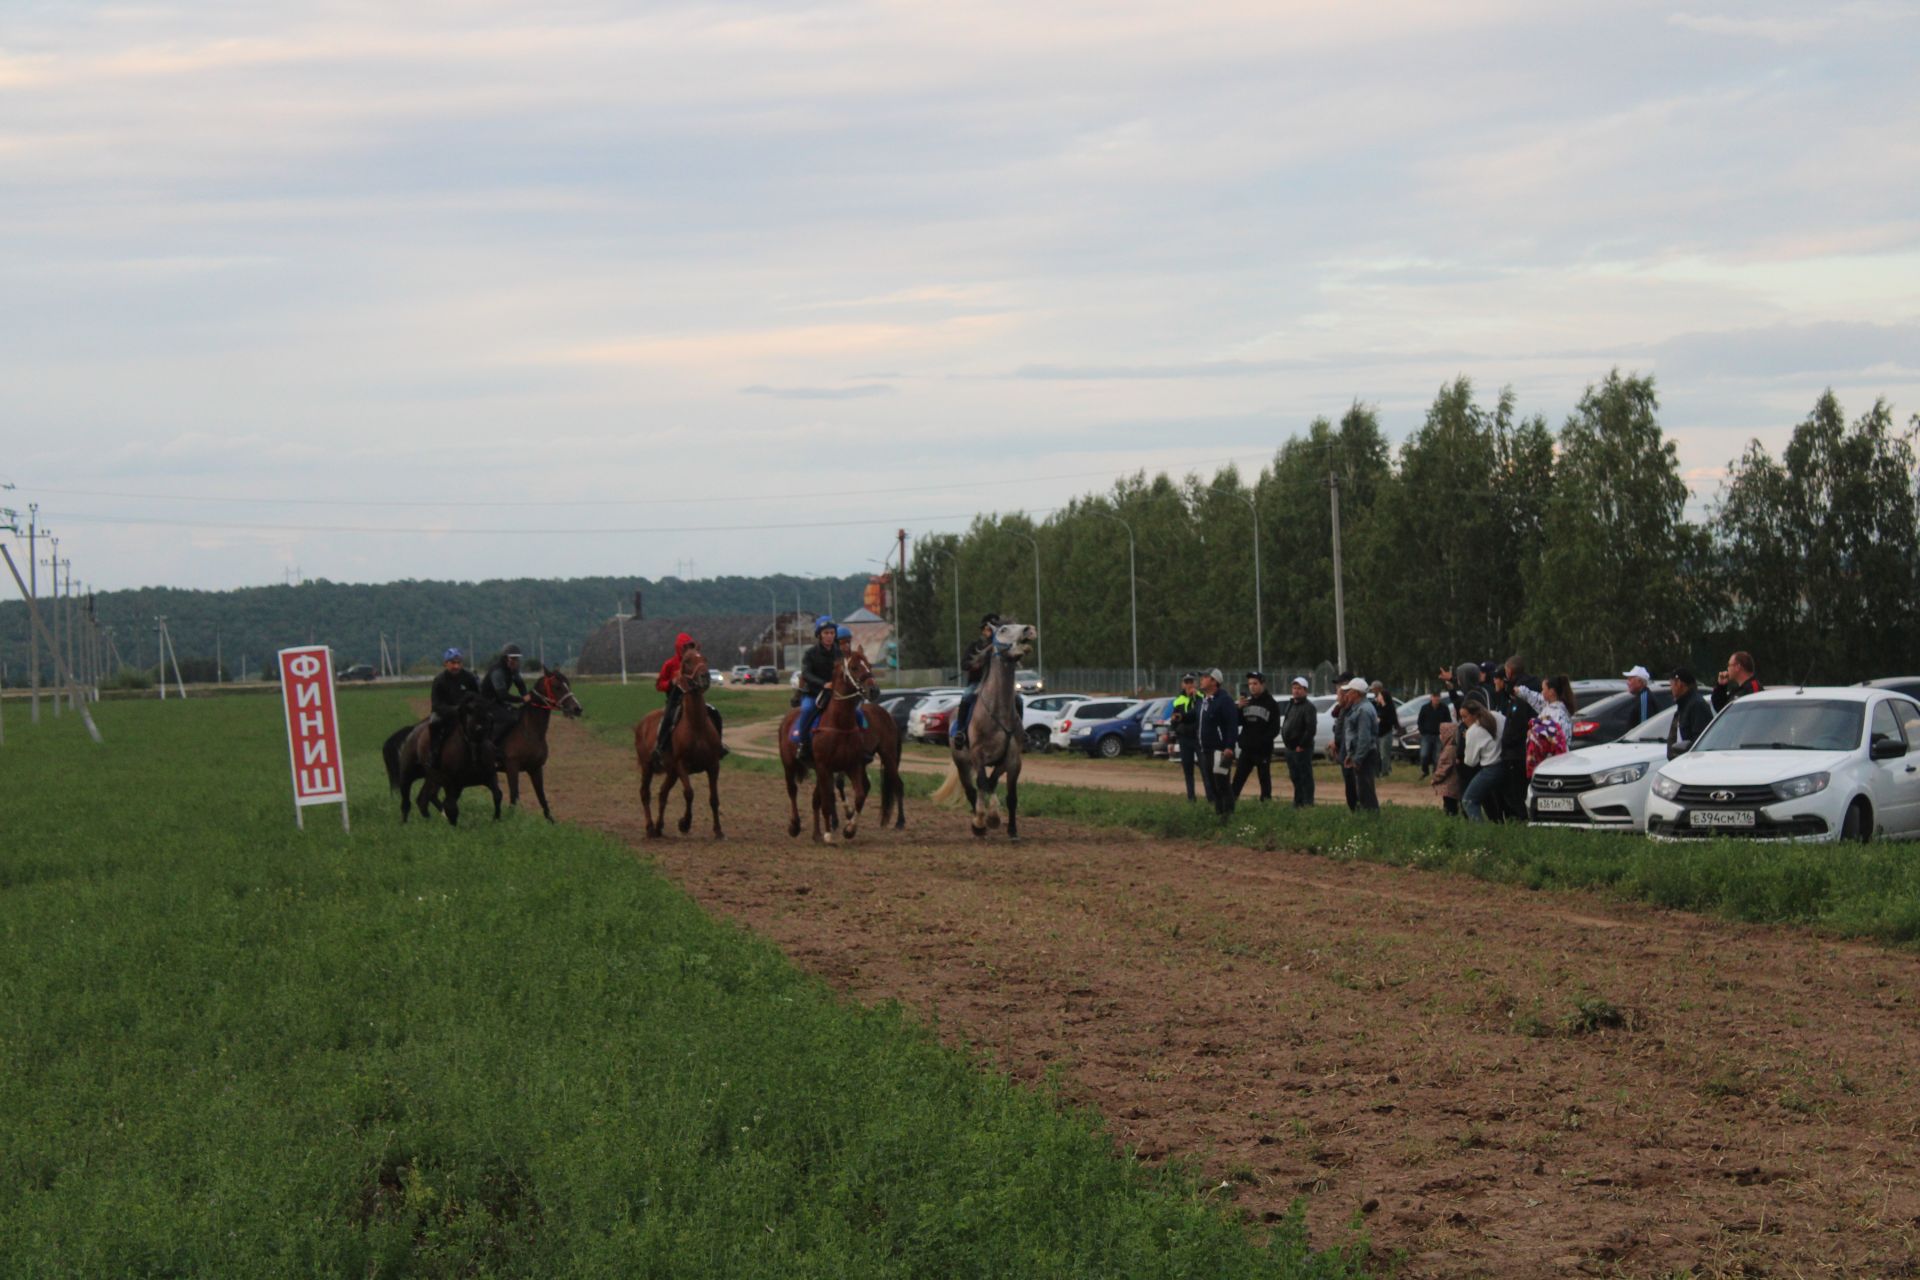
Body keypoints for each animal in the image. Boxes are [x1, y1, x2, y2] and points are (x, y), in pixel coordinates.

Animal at [380, 694, 503, 825]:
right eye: (469, 712)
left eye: (489, 716)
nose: (480, 729)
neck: (472, 752)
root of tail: (413, 730)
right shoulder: (451, 783)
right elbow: (451, 807)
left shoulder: (489, 776)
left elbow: (497, 795)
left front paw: (496, 819)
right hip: (407, 775)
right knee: (406, 802)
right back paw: (404, 823)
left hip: (431, 778)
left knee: (422, 800)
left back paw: (429, 821)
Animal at [491, 667, 579, 825]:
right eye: (557, 686)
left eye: (568, 684)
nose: (577, 708)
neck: (529, 731)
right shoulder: (512, 767)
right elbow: (514, 796)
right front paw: (511, 820)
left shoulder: (536, 768)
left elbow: (541, 796)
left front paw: (551, 821)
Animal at [633, 644, 721, 836]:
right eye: (687, 661)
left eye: (704, 658)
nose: (705, 677)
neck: (696, 725)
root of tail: (642, 723)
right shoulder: (682, 765)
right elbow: (689, 793)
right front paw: (685, 823)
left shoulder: (713, 765)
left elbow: (714, 798)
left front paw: (718, 830)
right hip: (647, 766)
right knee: (645, 793)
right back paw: (650, 827)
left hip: (671, 772)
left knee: (662, 793)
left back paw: (659, 827)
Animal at [775, 652, 875, 840]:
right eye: (854, 667)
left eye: (869, 665)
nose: (874, 690)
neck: (840, 724)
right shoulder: (824, 767)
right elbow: (827, 800)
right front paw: (829, 834)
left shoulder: (852, 765)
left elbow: (858, 795)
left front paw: (849, 829)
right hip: (789, 764)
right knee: (792, 791)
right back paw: (795, 825)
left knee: (816, 799)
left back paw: (816, 834)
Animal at [929, 621, 1036, 840]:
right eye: (1003, 629)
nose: (1029, 629)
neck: (998, 712)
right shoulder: (978, 755)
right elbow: (982, 783)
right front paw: (986, 819)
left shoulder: (1012, 760)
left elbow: (1007, 793)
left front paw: (1011, 829)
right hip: (962, 763)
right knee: (972, 789)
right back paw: (978, 824)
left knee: (987, 783)